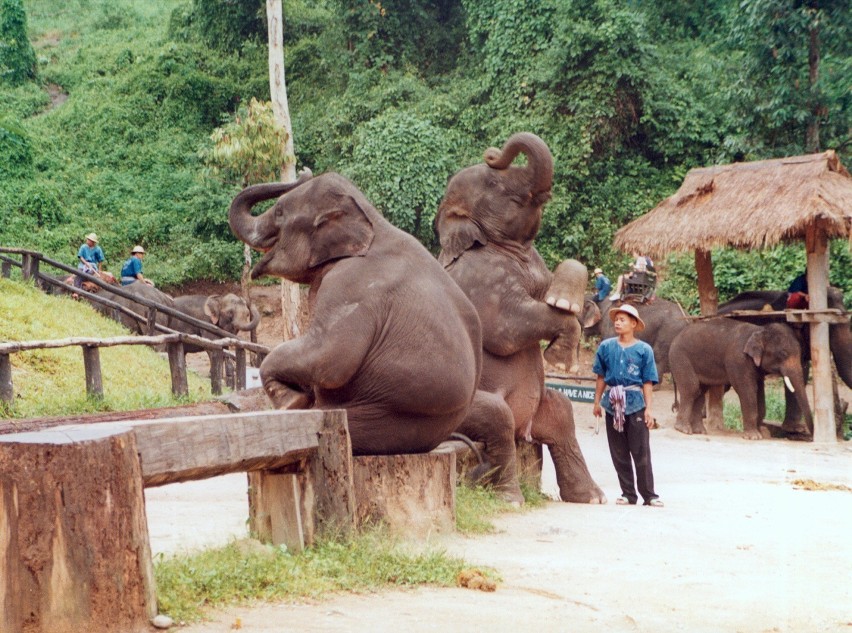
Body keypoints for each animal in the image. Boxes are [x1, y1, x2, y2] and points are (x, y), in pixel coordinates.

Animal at [226, 169, 524, 504]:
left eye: (279, 213)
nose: (302, 171)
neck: (371, 219)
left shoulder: (348, 285)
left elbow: (329, 359)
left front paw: (291, 401)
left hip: (380, 421)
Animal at [436, 133, 608, 504]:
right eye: (492, 182)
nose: (492, 151)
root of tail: (523, 428)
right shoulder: (481, 279)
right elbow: (508, 327)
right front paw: (560, 360)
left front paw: (562, 302)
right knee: (499, 419)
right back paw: (511, 498)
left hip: (542, 408)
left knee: (561, 414)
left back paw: (592, 497)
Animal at [668, 320, 808, 440]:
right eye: (783, 354)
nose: (805, 431)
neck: (759, 330)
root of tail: (675, 337)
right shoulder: (738, 361)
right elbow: (747, 390)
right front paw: (754, 437)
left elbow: (759, 391)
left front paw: (761, 433)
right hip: (680, 358)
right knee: (692, 389)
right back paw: (683, 429)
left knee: (700, 391)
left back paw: (700, 431)